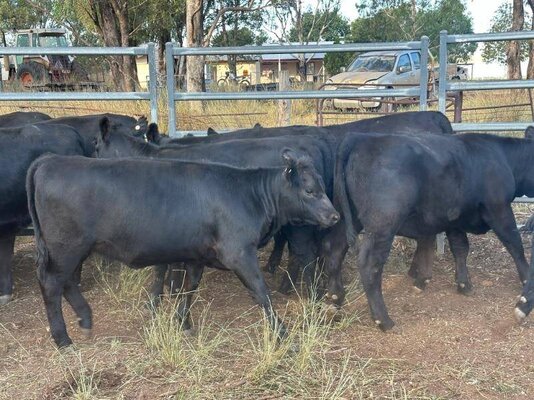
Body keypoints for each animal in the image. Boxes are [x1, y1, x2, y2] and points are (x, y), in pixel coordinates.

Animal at [27, 150, 340, 346]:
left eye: (323, 186)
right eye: (310, 190)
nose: (335, 216)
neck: (249, 196)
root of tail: (50, 160)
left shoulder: (196, 255)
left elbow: (189, 288)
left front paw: (183, 322)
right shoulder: (239, 253)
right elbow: (261, 293)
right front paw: (282, 334)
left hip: (69, 250)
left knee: (66, 282)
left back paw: (85, 319)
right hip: (65, 247)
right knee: (52, 283)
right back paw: (62, 338)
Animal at [330, 133, 534, 330]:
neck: (503, 157)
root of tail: (360, 138)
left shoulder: (454, 219)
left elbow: (461, 248)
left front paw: (463, 284)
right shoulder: (499, 209)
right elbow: (514, 244)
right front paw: (525, 279)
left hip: (348, 218)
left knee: (335, 249)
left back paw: (335, 299)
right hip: (383, 224)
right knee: (369, 264)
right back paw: (383, 320)